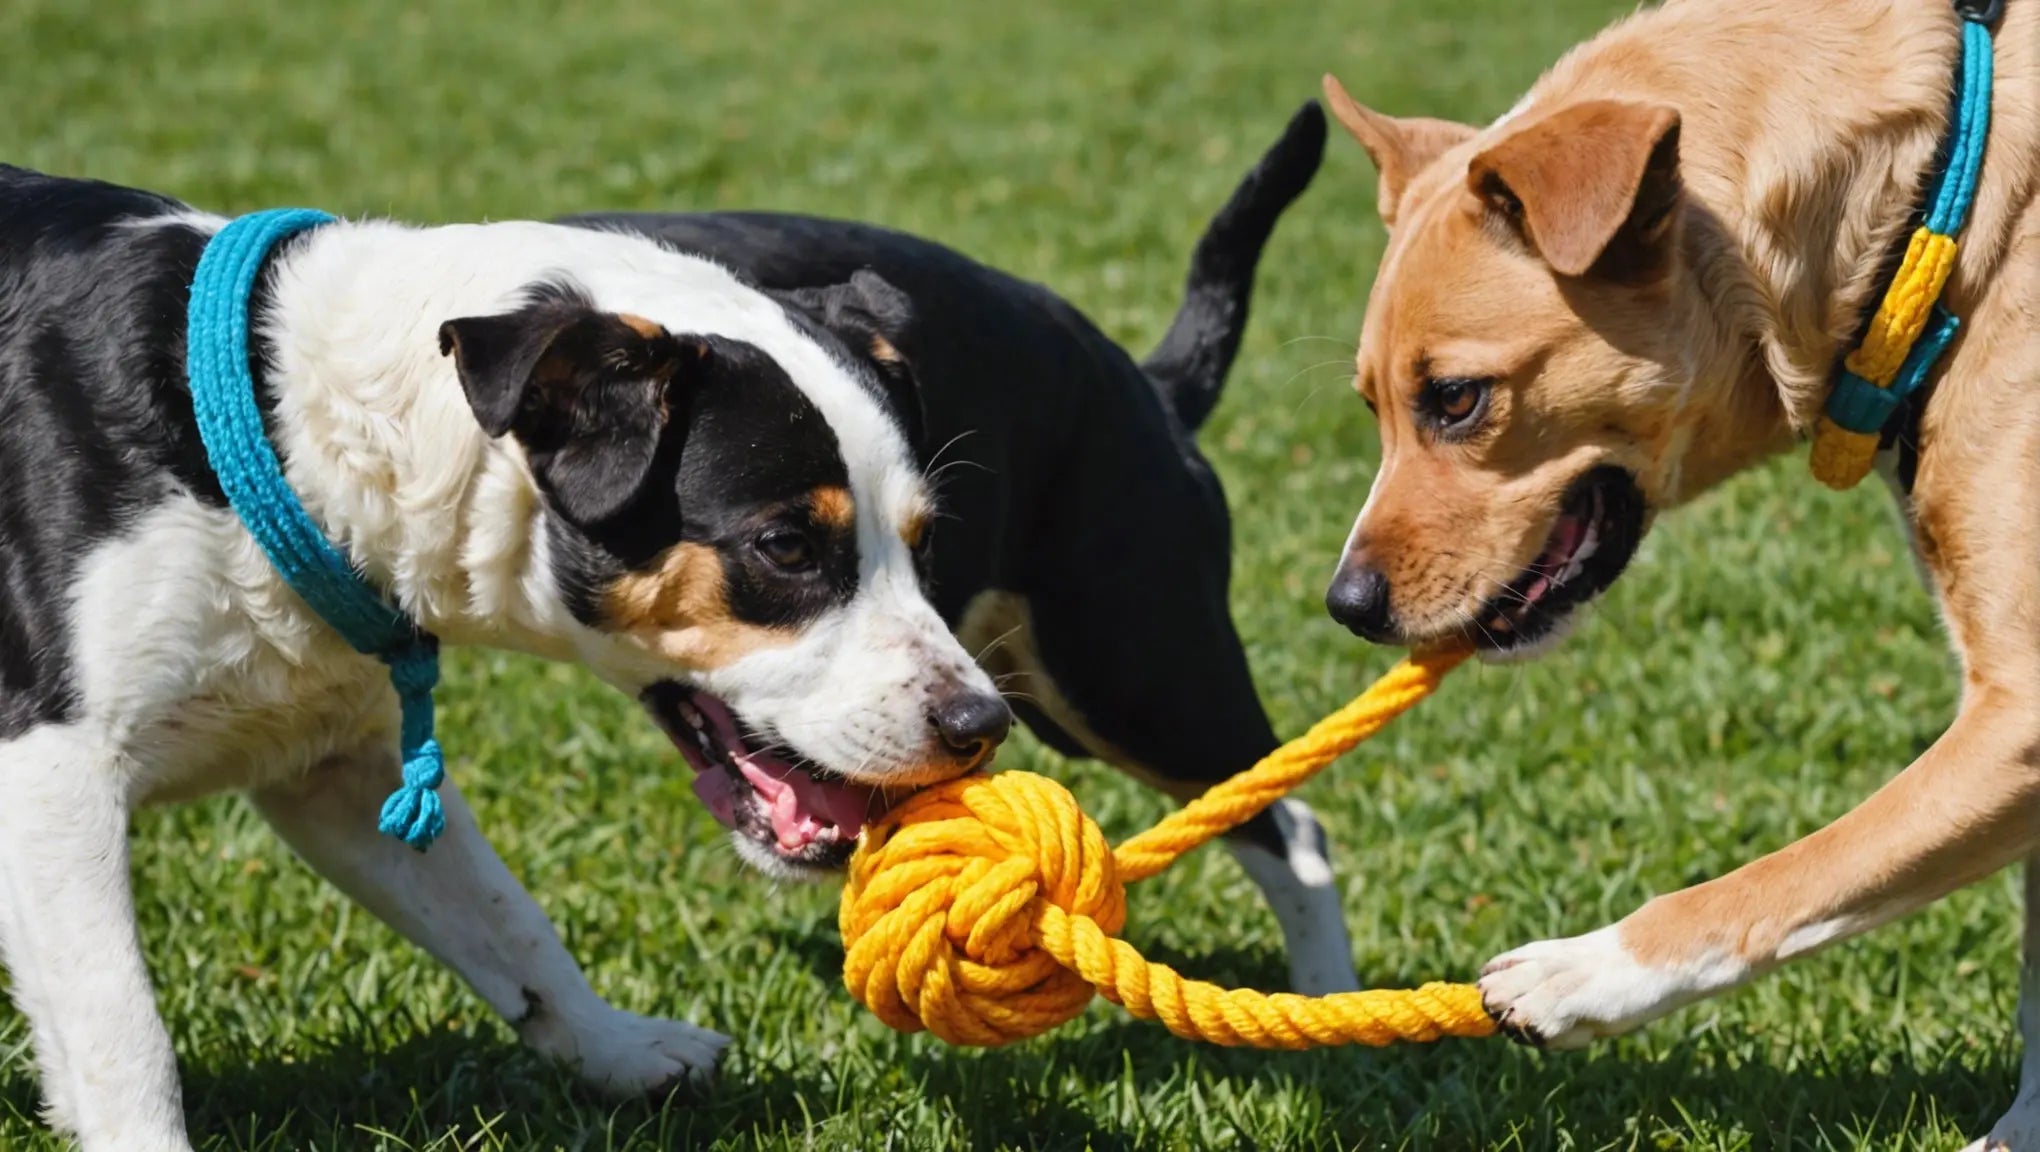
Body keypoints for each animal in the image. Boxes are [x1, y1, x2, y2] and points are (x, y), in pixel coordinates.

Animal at [0, 166, 1011, 1141]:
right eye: (787, 546)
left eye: (924, 540)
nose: (983, 723)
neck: (292, 433)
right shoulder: (55, 775)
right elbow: (121, 1027)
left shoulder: (333, 763)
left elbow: (508, 923)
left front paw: (619, 1049)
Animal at [1321, 2, 2040, 1141]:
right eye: (1371, 405)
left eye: (1457, 398)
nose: (1344, 606)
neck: (1948, 208)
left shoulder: (2018, 712)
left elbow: (1787, 876)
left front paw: (1580, 972)